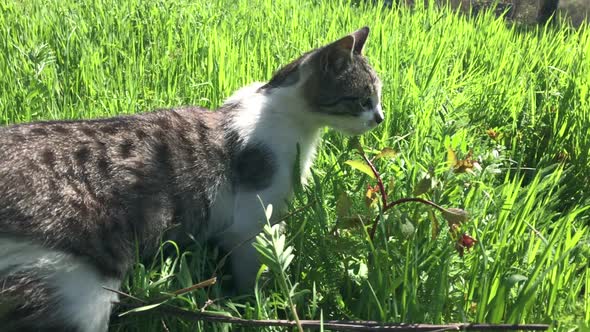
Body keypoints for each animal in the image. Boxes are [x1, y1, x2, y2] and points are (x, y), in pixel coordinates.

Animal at [0, 26, 384, 332]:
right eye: (363, 99)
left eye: (378, 98)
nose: (380, 118)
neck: (282, 109)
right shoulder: (252, 222)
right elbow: (253, 274)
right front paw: (257, 306)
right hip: (78, 289)